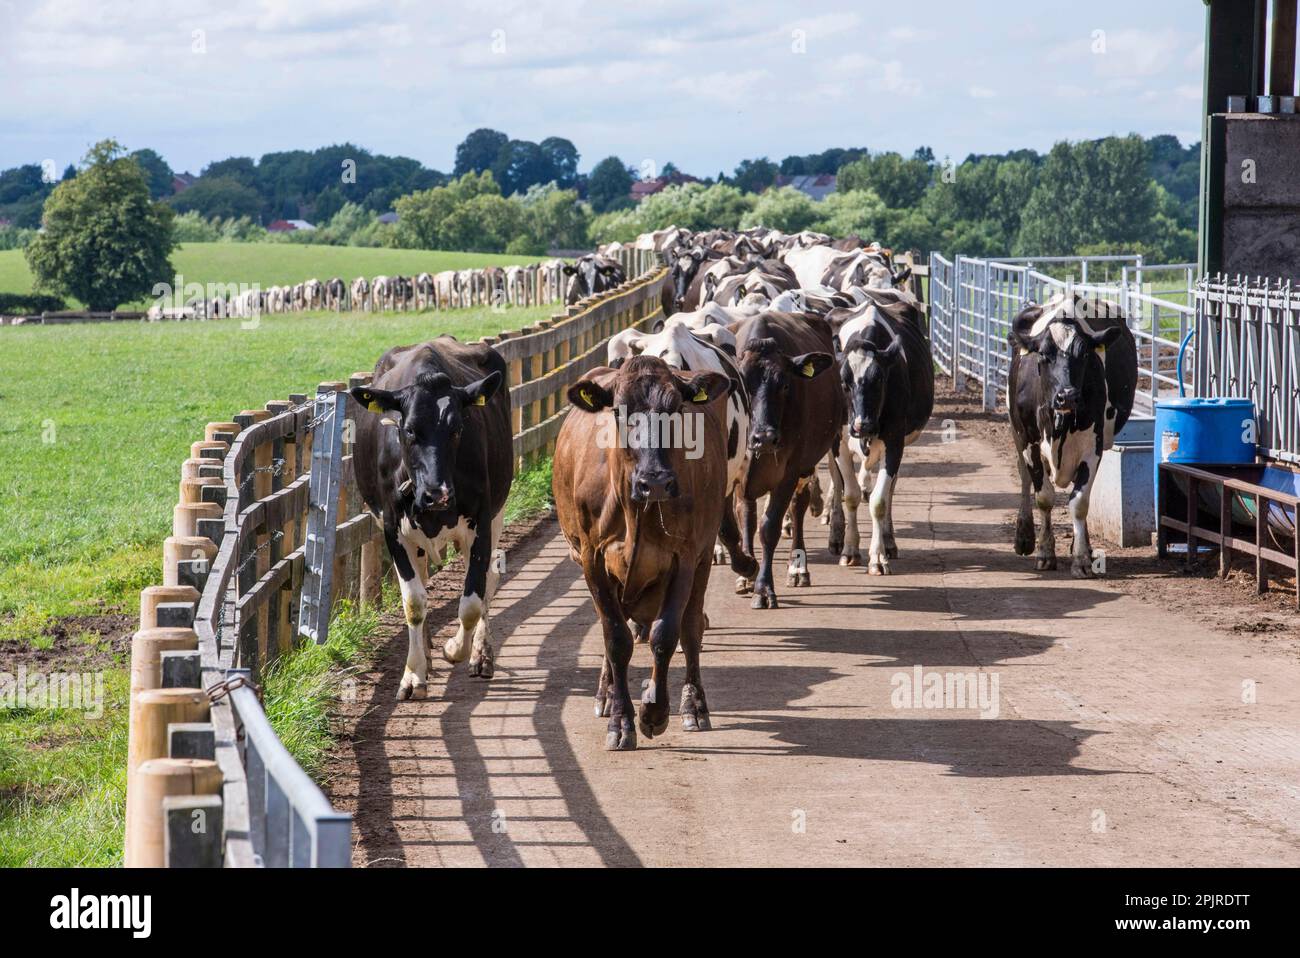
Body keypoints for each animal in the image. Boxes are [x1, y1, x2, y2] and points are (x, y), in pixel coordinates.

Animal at [349, 337, 513, 700]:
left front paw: (455, 649)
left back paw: (481, 655)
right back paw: (424, 651)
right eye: (409, 430)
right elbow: (414, 601)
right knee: (423, 582)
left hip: (497, 511)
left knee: (489, 579)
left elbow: (472, 600)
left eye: (457, 429)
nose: (437, 494)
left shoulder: (481, 521)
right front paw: (413, 674)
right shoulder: (392, 529)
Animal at [553, 355, 732, 749]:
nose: (655, 482)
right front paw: (621, 720)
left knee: (691, 628)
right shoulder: (592, 560)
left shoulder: (685, 556)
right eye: (619, 411)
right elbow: (615, 638)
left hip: (703, 556)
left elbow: (665, 635)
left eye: (676, 409)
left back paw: (693, 704)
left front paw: (655, 711)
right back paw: (605, 694)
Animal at [732, 312, 843, 608]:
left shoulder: (789, 470)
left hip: (807, 464)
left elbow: (769, 527)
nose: (765, 438)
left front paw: (763, 589)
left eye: (784, 384)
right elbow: (744, 518)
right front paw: (746, 573)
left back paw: (798, 568)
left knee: (799, 505)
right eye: (743, 385)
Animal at [830, 294, 934, 573]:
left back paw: (888, 541)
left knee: (889, 491)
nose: (861, 425)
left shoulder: (895, 441)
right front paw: (849, 550)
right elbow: (851, 494)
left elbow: (878, 500)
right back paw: (835, 537)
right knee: (837, 481)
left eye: (880, 380)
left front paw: (877, 556)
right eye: (843, 382)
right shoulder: (838, 441)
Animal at [1008, 294, 1137, 577]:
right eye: (1044, 355)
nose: (1067, 396)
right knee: (1024, 475)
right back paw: (1024, 537)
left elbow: (1080, 501)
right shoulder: (1029, 441)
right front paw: (1045, 552)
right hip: (1017, 433)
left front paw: (1081, 558)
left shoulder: (1092, 447)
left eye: (1085, 354)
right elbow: (1044, 497)